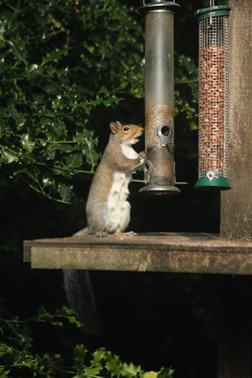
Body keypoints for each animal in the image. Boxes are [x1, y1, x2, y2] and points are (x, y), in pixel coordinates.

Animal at [63, 121, 146, 334]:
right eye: (126, 128)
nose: (142, 130)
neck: (124, 146)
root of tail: (88, 225)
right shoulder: (114, 157)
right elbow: (125, 164)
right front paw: (141, 157)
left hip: (125, 209)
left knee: (115, 231)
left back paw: (125, 233)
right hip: (100, 211)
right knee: (97, 230)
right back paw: (99, 233)